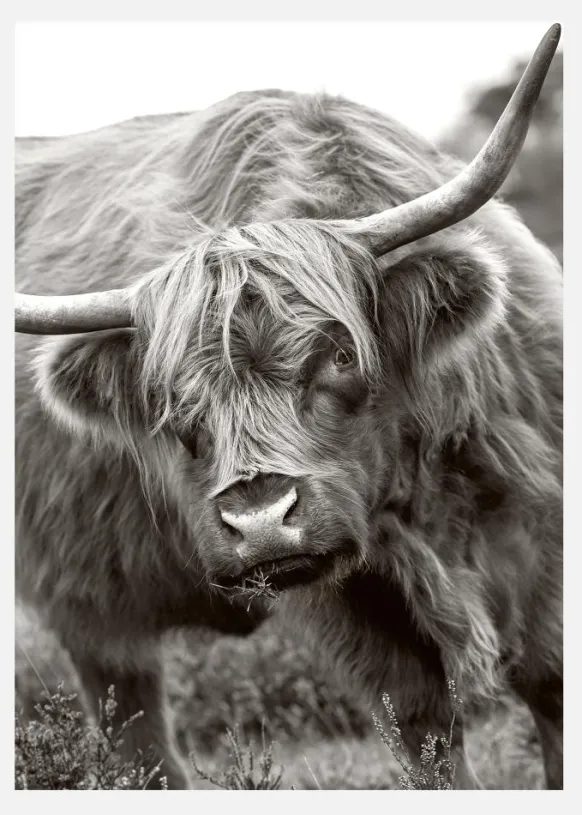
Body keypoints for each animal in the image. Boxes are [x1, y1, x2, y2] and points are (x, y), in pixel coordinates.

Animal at [15, 25, 562, 790]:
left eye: (339, 355)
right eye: (172, 399)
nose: (260, 522)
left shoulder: (541, 532)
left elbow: (550, 685)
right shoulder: (360, 606)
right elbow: (426, 732)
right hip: (87, 606)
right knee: (135, 731)